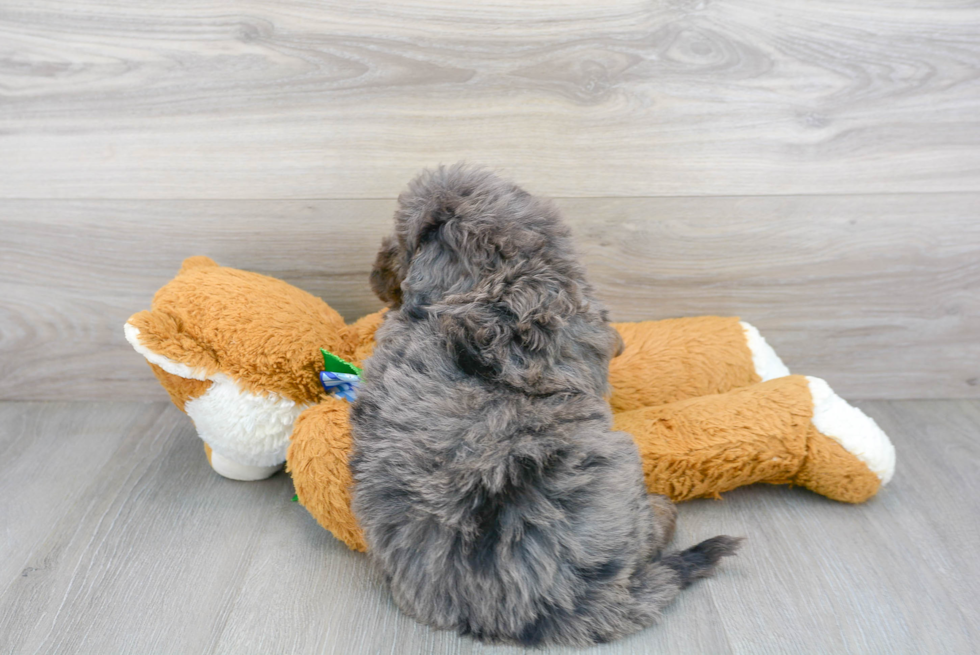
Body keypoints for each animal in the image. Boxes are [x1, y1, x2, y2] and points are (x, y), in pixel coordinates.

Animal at [348, 164, 740, 644]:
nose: (376, 276)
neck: (491, 281)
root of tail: (561, 605)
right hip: (622, 463)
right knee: (645, 534)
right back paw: (664, 513)